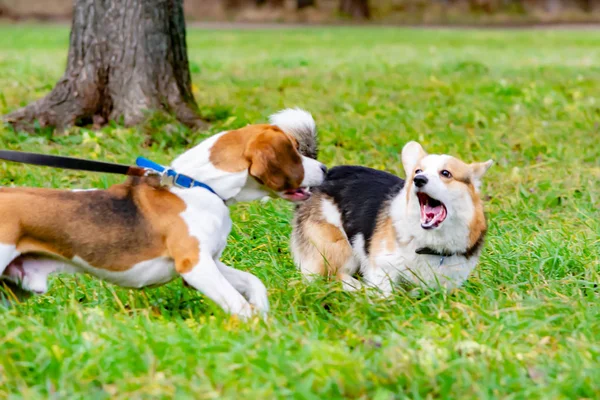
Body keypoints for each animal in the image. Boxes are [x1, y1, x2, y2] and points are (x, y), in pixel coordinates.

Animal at [0, 108, 326, 318]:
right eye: (295, 150)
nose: (324, 168)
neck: (201, 185)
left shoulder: (209, 262)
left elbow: (252, 282)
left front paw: (264, 312)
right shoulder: (195, 266)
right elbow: (237, 304)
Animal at [290, 141, 492, 294]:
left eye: (446, 173)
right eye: (418, 171)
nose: (419, 180)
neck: (430, 243)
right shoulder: (382, 268)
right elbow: (387, 294)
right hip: (339, 247)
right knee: (331, 276)